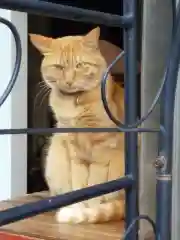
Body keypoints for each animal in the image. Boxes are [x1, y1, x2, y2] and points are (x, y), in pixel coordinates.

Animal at [29, 27, 125, 224]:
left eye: (80, 65)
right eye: (59, 68)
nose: (69, 81)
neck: (74, 104)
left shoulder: (101, 150)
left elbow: (96, 185)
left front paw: (90, 209)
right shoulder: (73, 150)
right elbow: (79, 184)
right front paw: (78, 207)